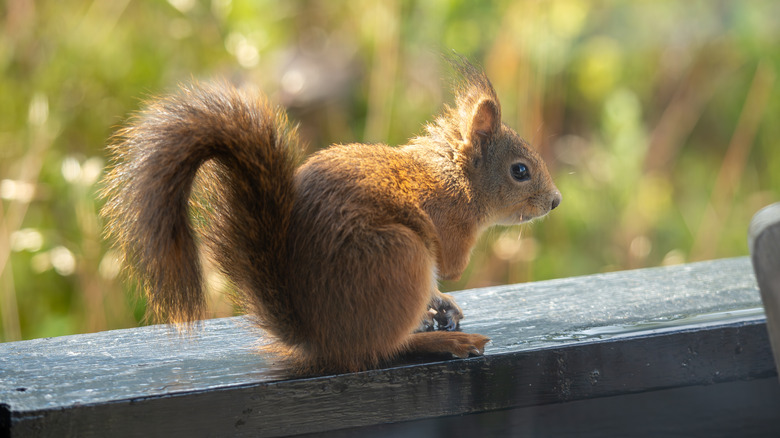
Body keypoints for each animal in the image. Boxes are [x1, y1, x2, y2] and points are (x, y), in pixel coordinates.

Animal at [100, 57, 561, 374]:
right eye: (520, 171)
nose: (555, 201)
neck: (455, 176)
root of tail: (321, 339)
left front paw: (444, 305)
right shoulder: (450, 228)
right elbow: (448, 265)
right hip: (400, 257)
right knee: (381, 350)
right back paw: (442, 343)